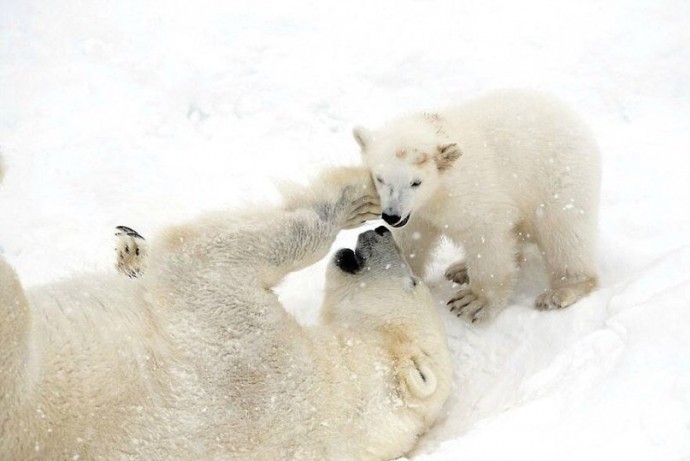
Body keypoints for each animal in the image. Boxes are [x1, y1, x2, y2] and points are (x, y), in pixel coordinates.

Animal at [352, 88, 600, 322]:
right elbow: (412, 240)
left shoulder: (472, 192)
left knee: (563, 231)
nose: (391, 215)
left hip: (559, 177)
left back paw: (561, 291)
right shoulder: (417, 214)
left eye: (416, 182)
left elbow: (486, 237)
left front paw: (473, 303)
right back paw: (460, 268)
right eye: (380, 178)